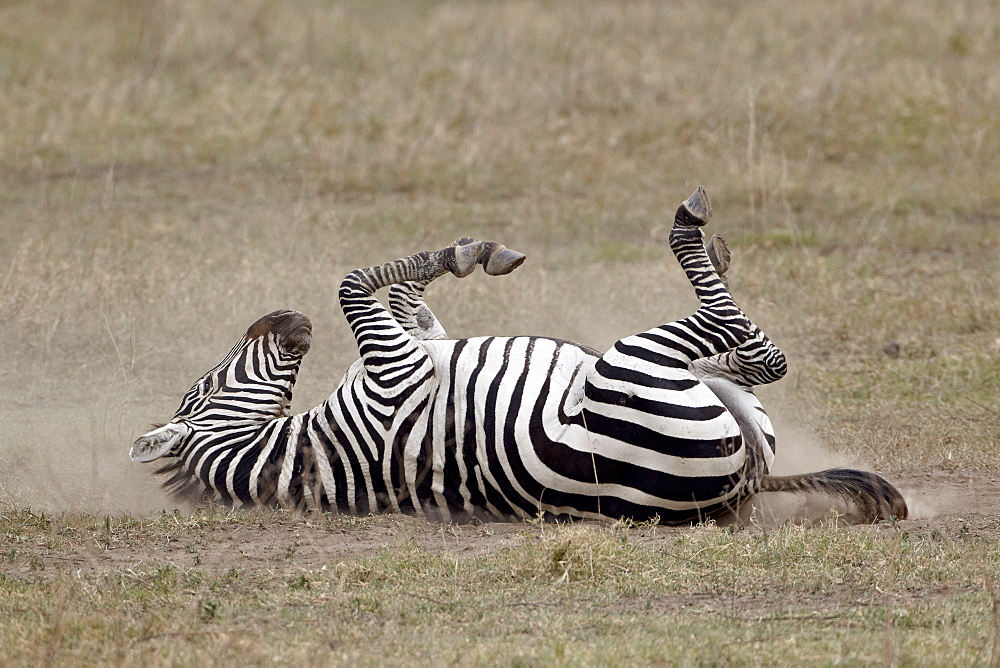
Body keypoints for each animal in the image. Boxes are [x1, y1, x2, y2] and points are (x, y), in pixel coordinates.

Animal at [131, 187, 908, 520]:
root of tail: (744, 484)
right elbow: (354, 283)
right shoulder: (394, 368)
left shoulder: (410, 347)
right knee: (742, 339)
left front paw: (466, 252)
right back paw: (694, 231)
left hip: (726, 404)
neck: (295, 452)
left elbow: (403, 297)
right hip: (630, 365)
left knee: (744, 361)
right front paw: (466, 253)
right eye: (206, 386)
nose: (284, 318)